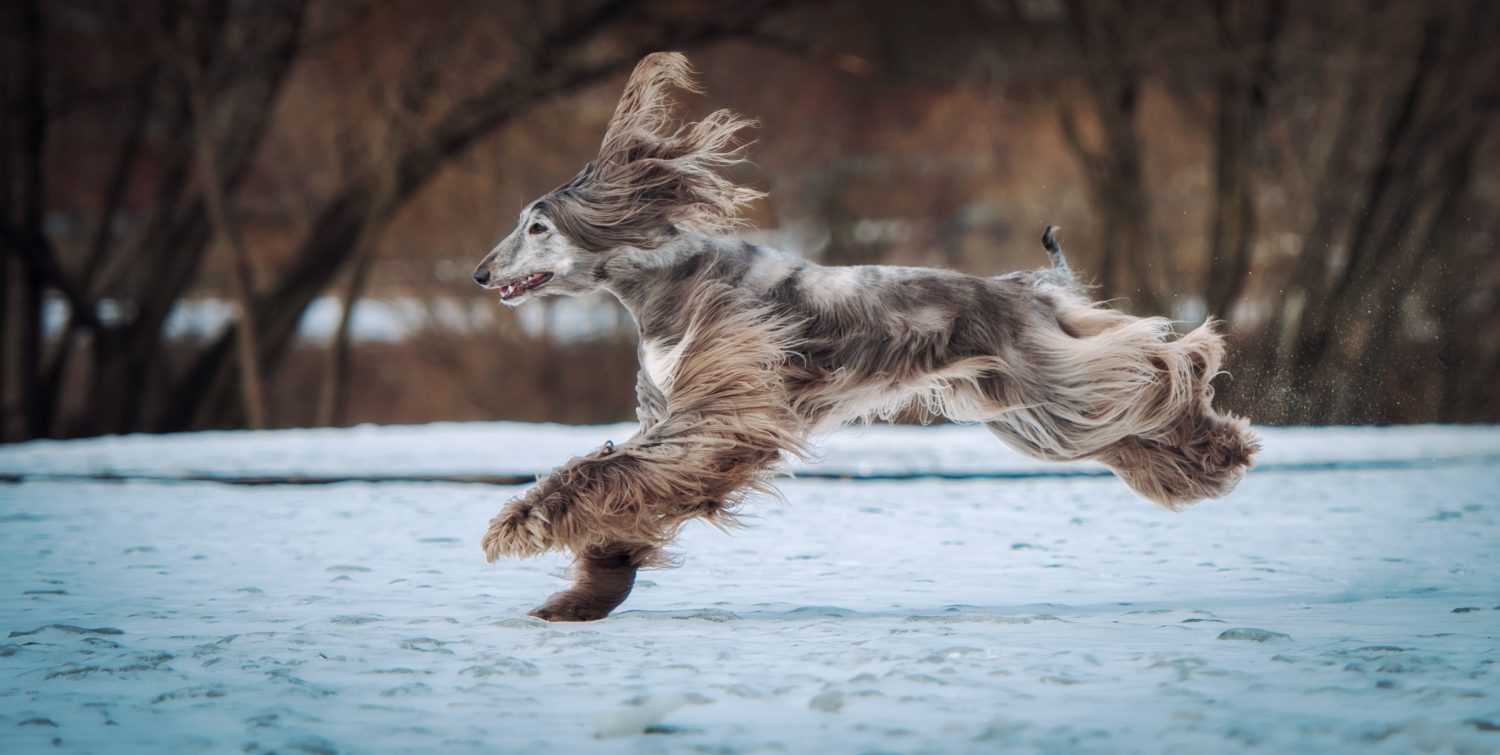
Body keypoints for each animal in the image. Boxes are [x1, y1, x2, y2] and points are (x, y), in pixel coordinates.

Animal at [474, 51, 1260, 621]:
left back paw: (1208, 388)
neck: (668, 282)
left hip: (1050, 383)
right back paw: (1213, 455)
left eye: (536, 227)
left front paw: (522, 521)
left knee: (1161, 362)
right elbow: (626, 486)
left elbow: (604, 471)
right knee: (1134, 416)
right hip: (1032, 409)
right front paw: (586, 592)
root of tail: (1025, 286)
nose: (481, 272)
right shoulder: (688, 418)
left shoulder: (720, 411)